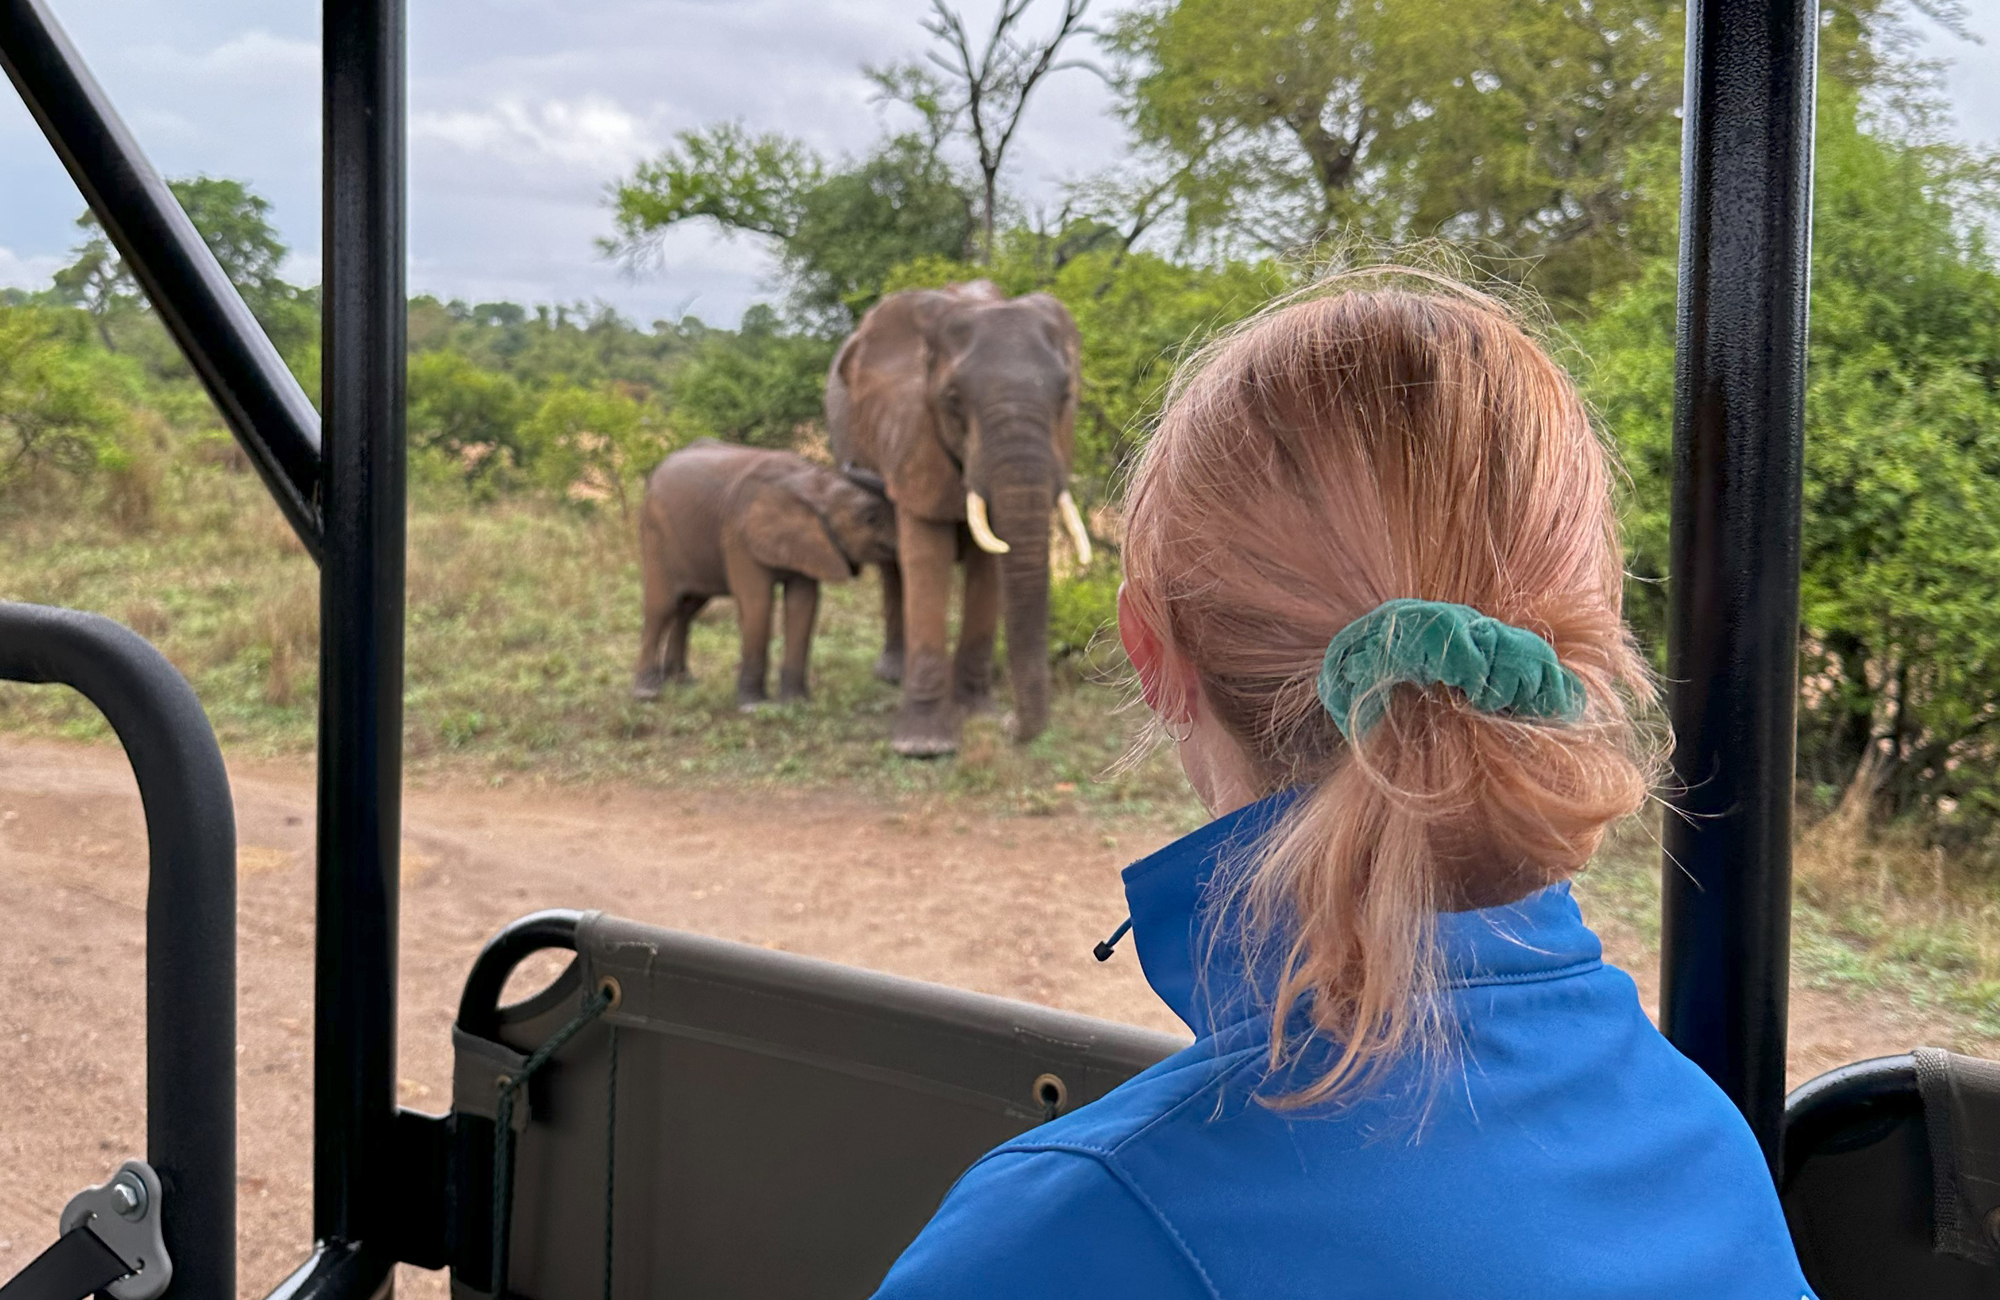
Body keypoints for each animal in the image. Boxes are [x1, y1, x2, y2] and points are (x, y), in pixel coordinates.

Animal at [632, 438, 898, 709]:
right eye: (870, 518)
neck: (814, 484)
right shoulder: (739, 534)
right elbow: (758, 603)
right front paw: (753, 706)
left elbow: (803, 604)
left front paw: (797, 703)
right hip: (656, 533)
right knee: (662, 607)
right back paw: (647, 691)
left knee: (688, 608)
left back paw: (682, 683)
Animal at [827, 281, 1092, 756]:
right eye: (952, 401)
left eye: (1066, 397)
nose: (1008, 724)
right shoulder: (911, 431)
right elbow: (926, 555)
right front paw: (924, 745)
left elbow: (988, 570)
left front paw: (976, 715)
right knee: (894, 566)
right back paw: (892, 674)